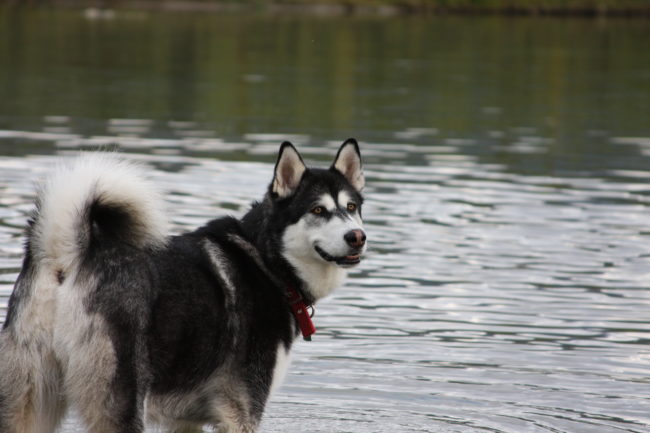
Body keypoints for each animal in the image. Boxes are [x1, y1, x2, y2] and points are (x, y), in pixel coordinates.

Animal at [0, 139, 364, 432]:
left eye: (351, 207)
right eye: (317, 209)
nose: (357, 237)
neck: (265, 259)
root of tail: (68, 253)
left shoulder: (185, 419)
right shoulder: (241, 413)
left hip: (29, 402)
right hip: (120, 403)